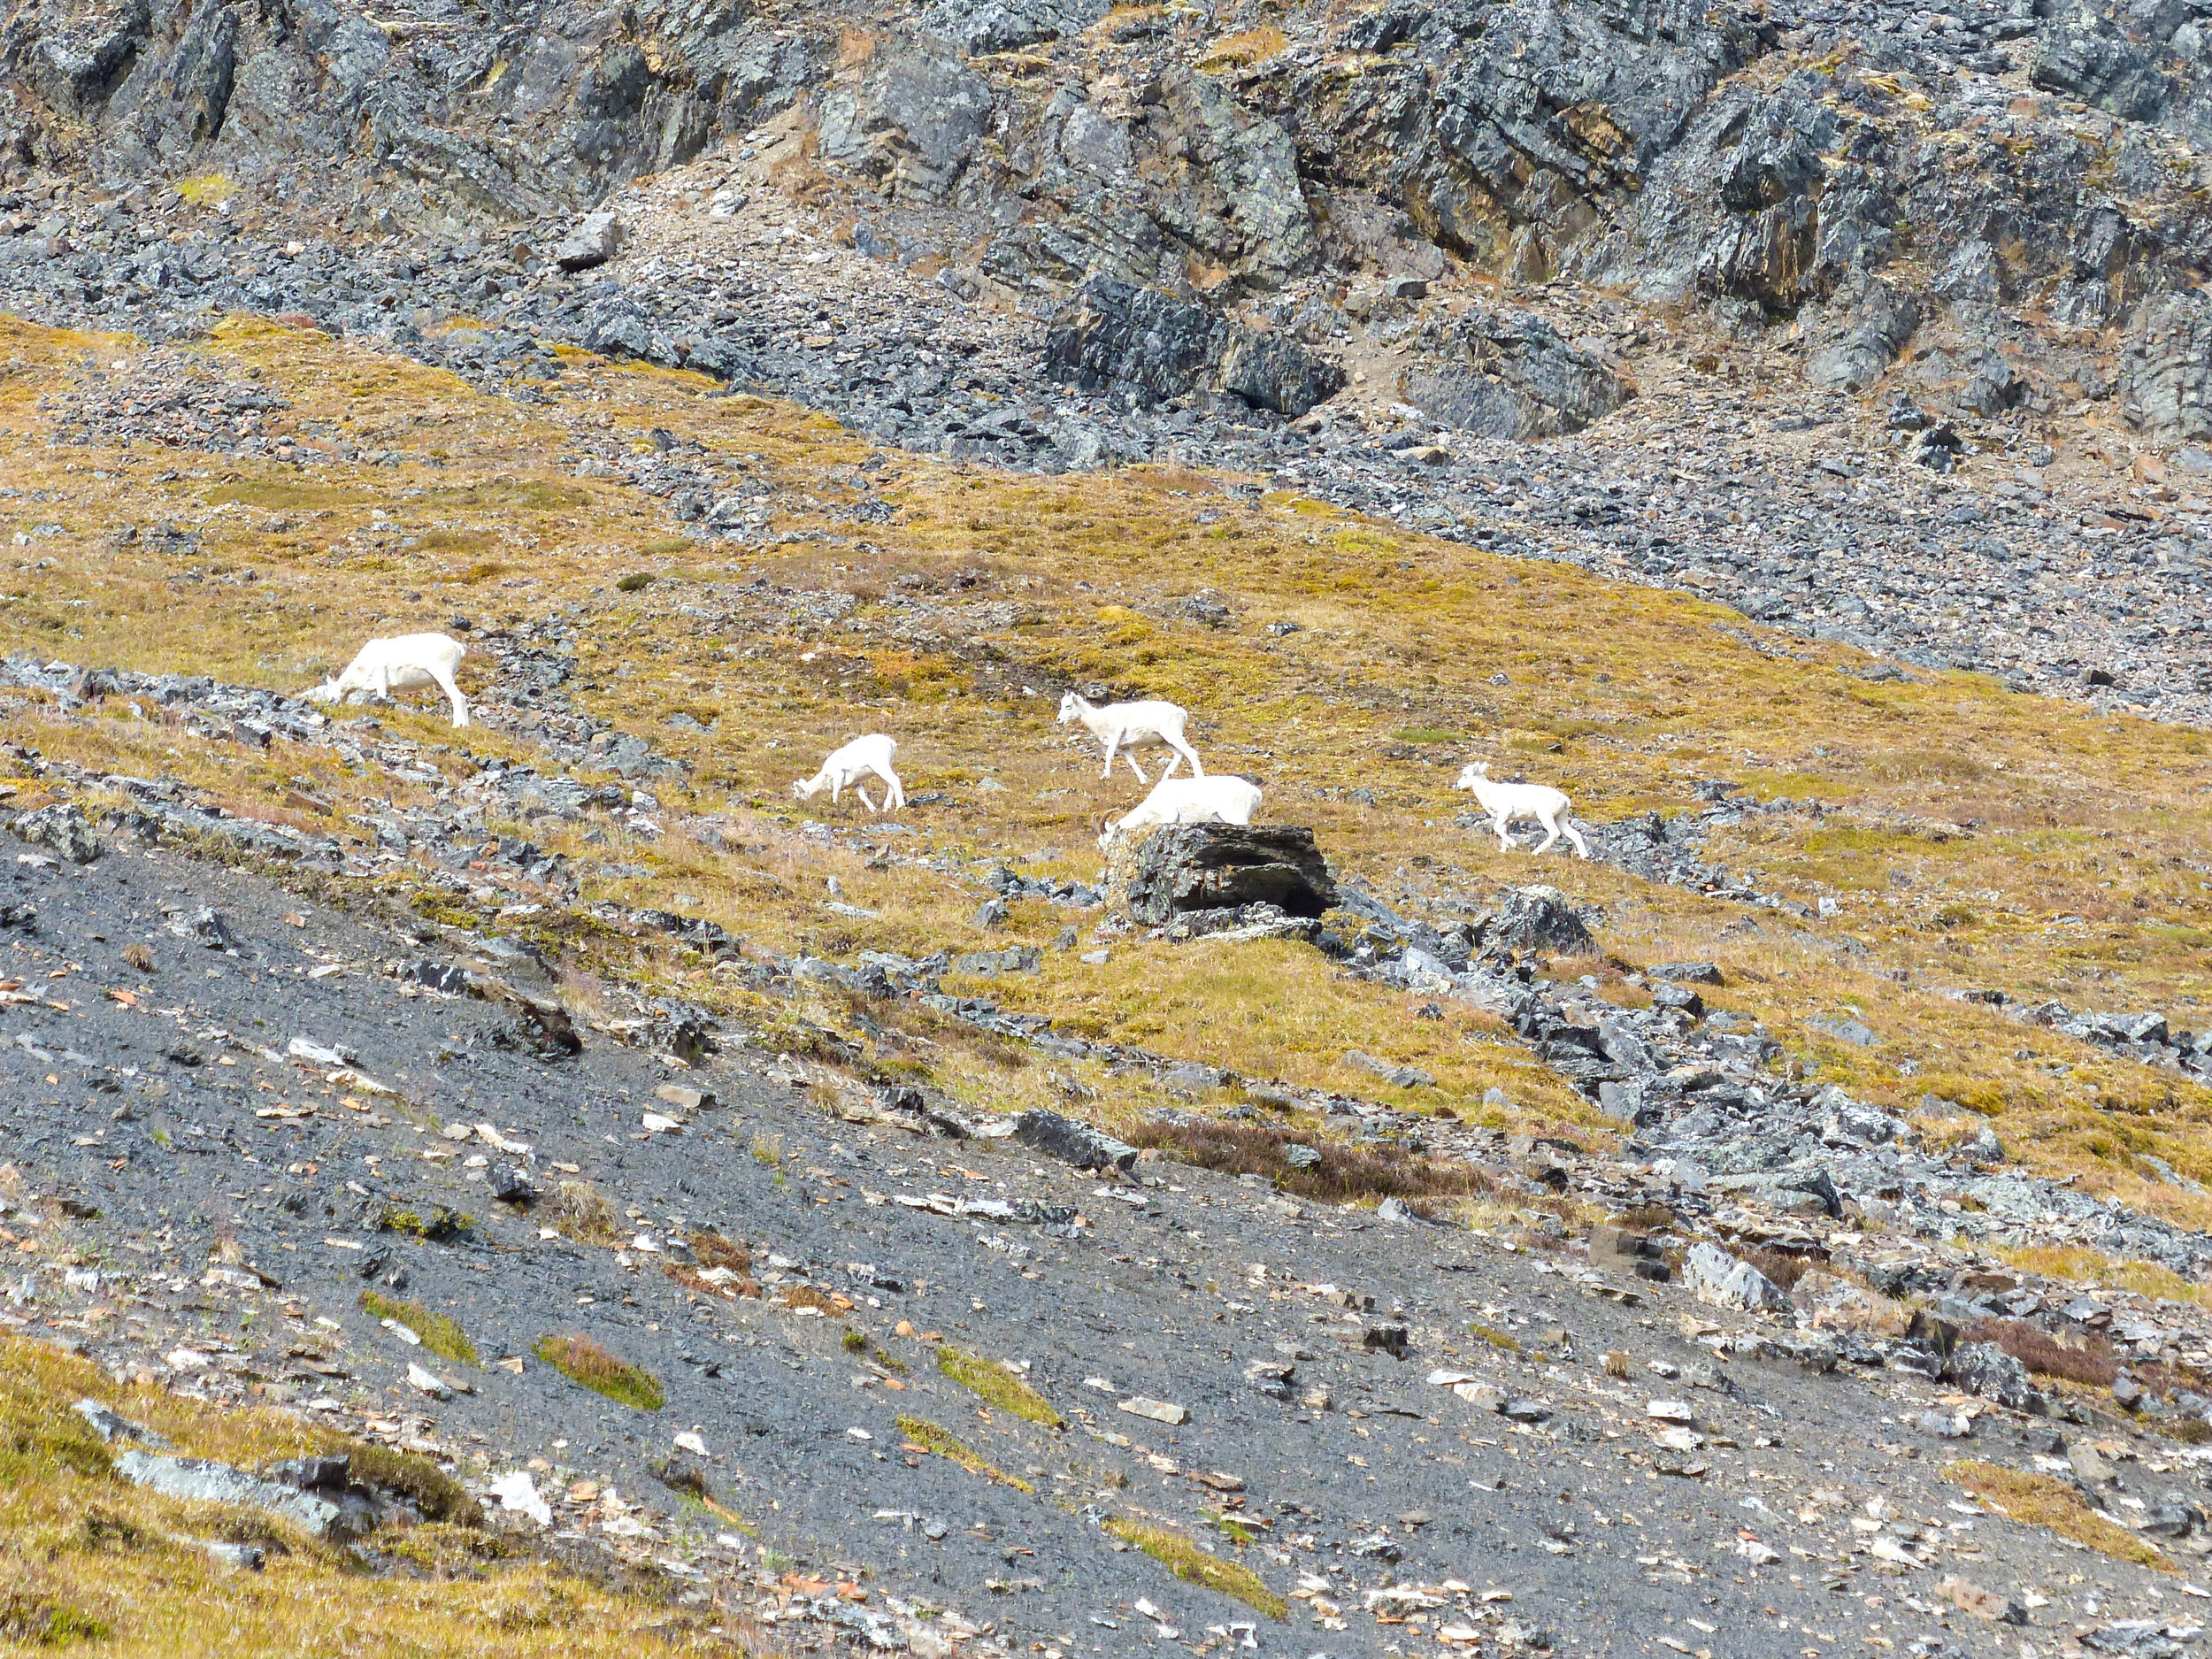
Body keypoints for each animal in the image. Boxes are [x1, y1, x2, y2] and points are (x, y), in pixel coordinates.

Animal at [303, 628, 471, 726]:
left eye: (331, 696)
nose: (331, 706)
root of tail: (456, 647)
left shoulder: (380, 677)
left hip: (443, 675)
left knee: (458, 698)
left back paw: (458, 726)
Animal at [1057, 695, 1212, 787]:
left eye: (1068, 706)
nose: (1059, 720)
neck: (1098, 719)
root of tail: (1182, 713)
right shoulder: (1125, 747)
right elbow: (1131, 761)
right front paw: (1143, 779)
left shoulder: (1115, 738)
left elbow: (1108, 755)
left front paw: (1105, 776)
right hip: (1164, 741)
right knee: (1179, 754)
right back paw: (1165, 777)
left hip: (1172, 736)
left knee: (1191, 753)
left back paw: (1199, 777)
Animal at [1451, 765, 1593, 863]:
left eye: (1465, 775)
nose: (1457, 785)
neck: (1488, 792)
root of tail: (1565, 800)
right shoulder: (1506, 818)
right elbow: (1502, 830)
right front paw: (1504, 850)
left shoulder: (1504, 813)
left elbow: (1496, 828)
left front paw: (1513, 844)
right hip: (1560, 818)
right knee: (1574, 834)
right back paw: (1584, 856)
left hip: (1546, 816)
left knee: (1555, 833)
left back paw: (1535, 853)